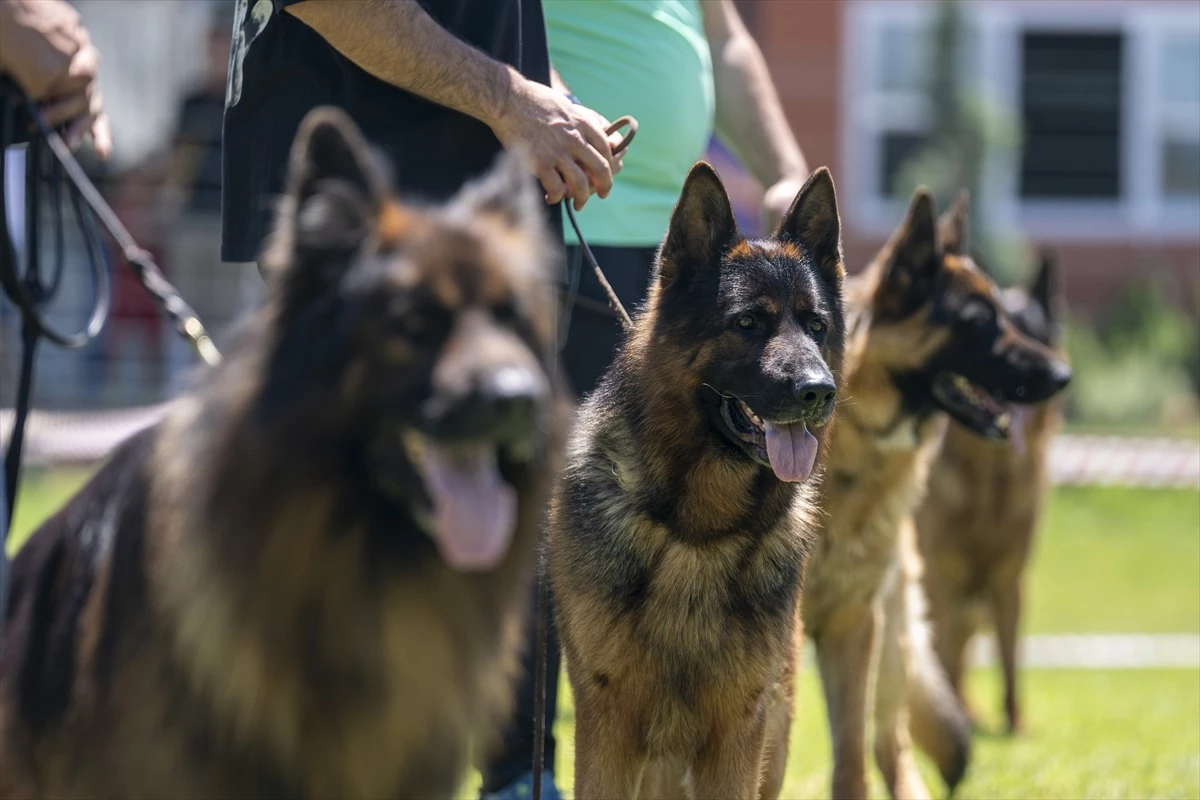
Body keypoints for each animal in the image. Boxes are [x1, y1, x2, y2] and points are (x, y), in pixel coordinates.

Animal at [549, 164, 844, 800]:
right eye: (747, 323)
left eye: (816, 326)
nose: (819, 392)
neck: (698, 533)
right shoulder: (607, 726)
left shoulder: (738, 732)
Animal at [916, 250, 1070, 734]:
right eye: (990, 328)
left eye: (1036, 333)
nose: (1060, 375)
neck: (991, 484)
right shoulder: (943, 579)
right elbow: (946, 659)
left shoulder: (1009, 579)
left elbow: (1010, 656)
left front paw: (1015, 723)